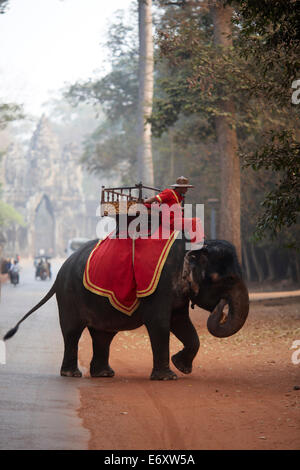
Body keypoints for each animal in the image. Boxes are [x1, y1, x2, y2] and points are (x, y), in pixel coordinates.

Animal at [3, 237, 250, 380]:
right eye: (227, 279)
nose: (221, 307)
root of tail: (59, 272)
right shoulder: (158, 288)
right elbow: (160, 323)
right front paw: (168, 376)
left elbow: (180, 323)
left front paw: (182, 368)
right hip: (69, 295)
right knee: (72, 332)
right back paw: (72, 374)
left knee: (103, 336)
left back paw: (103, 374)